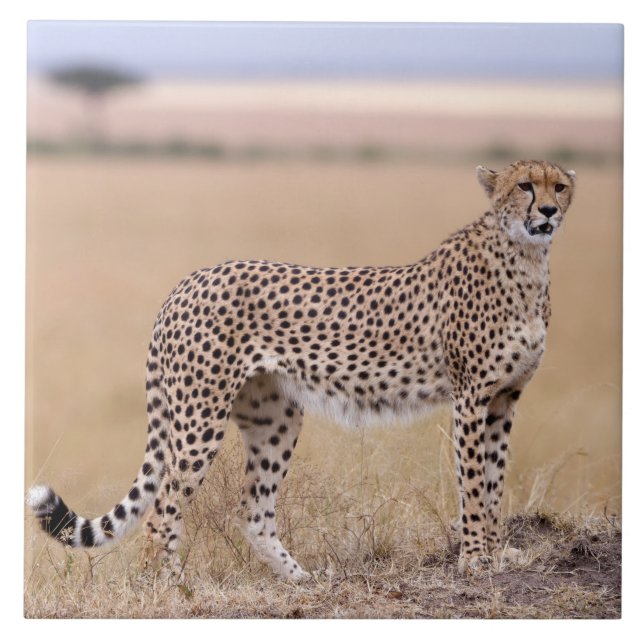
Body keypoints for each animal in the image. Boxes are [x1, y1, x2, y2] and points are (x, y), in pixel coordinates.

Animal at [28, 159, 576, 579]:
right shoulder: (470, 398)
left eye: (560, 187)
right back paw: (164, 587)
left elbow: (495, 480)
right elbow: (474, 484)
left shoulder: (504, 399)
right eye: (525, 186)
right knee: (163, 508)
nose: (548, 212)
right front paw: (476, 560)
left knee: (253, 510)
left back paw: (300, 579)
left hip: (275, 417)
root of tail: (188, 281)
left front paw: (498, 553)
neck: (526, 260)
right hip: (200, 417)